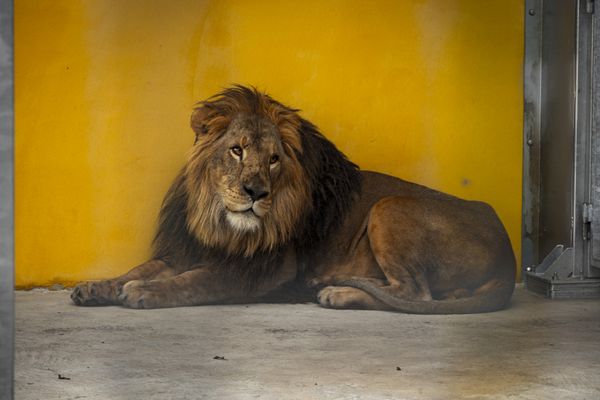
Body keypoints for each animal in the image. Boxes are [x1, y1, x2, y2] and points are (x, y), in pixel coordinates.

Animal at [71, 86, 516, 314]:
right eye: (236, 150)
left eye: (273, 160)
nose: (256, 193)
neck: (216, 220)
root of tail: (510, 255)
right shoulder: (184, 250)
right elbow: (139, 269)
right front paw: (96, 287)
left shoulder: (265, 269)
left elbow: (195, 282)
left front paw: (145, 293)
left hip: (389, 206)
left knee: (415, 294)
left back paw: (338, 293)